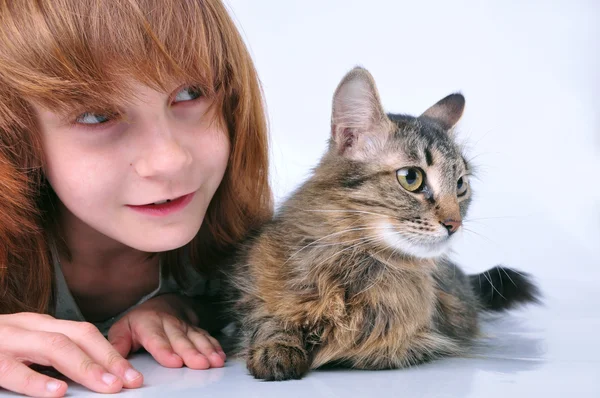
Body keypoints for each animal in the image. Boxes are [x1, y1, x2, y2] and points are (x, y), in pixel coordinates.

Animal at [226, 67, 540, 380]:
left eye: (461, 185)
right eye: (411, 178)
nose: (454, 223)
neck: (354, 263)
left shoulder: (421, 335)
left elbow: (374, 347)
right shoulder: (250, 290)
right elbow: (267, 319)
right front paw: (277, 349)